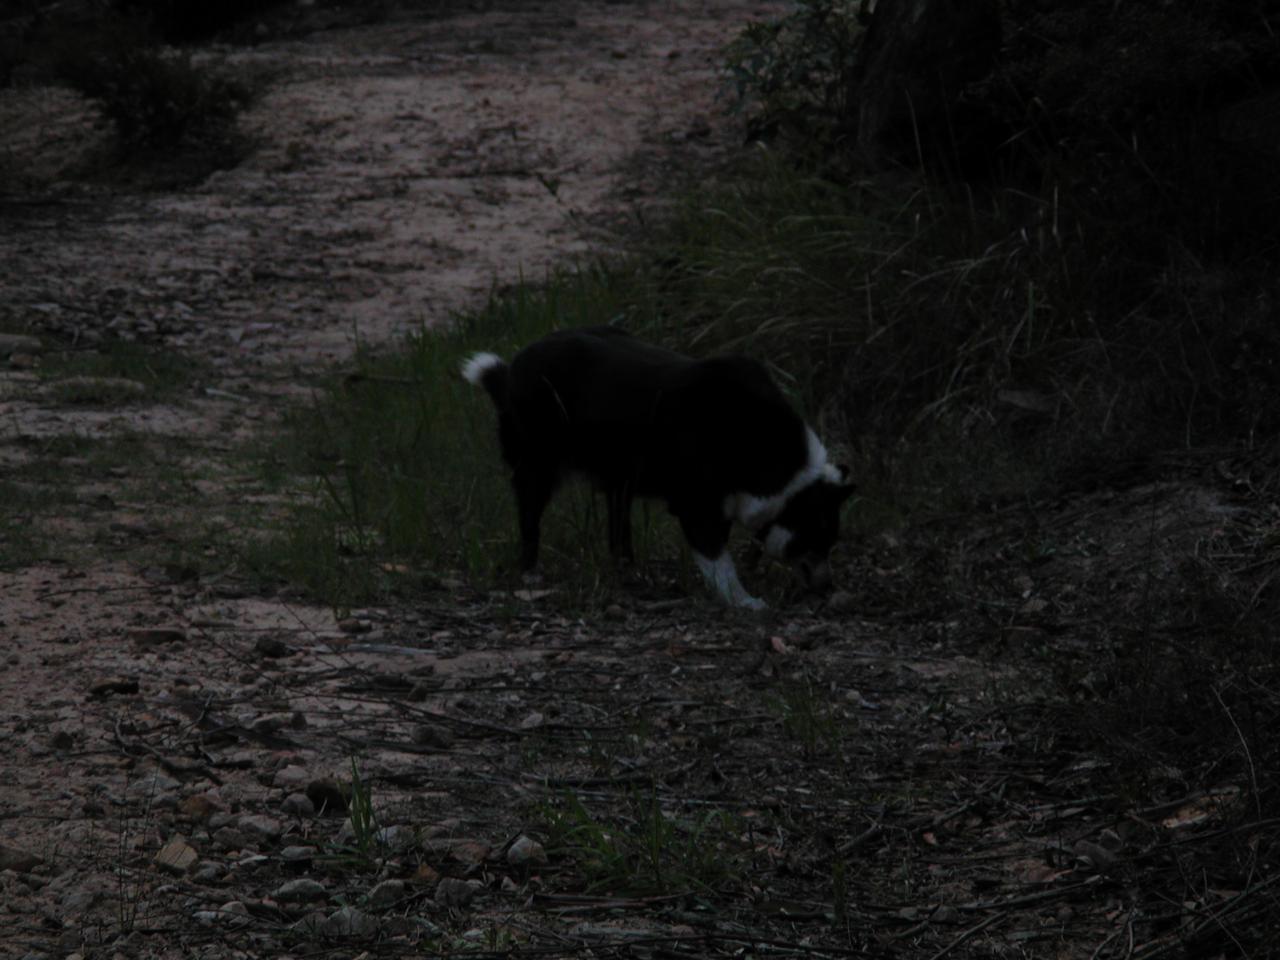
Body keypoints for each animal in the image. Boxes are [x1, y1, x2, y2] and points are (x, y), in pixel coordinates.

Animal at [460, 330, 849, 609]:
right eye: (817, 539)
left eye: (831, 543)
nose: (828, 586)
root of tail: (512, 370)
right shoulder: (698, 505)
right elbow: (718, 561)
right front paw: (744, 601)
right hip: (538, 464)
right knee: (530, 516)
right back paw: (530, 573)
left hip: (617, 475)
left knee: (618, 526)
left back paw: (628, 571)